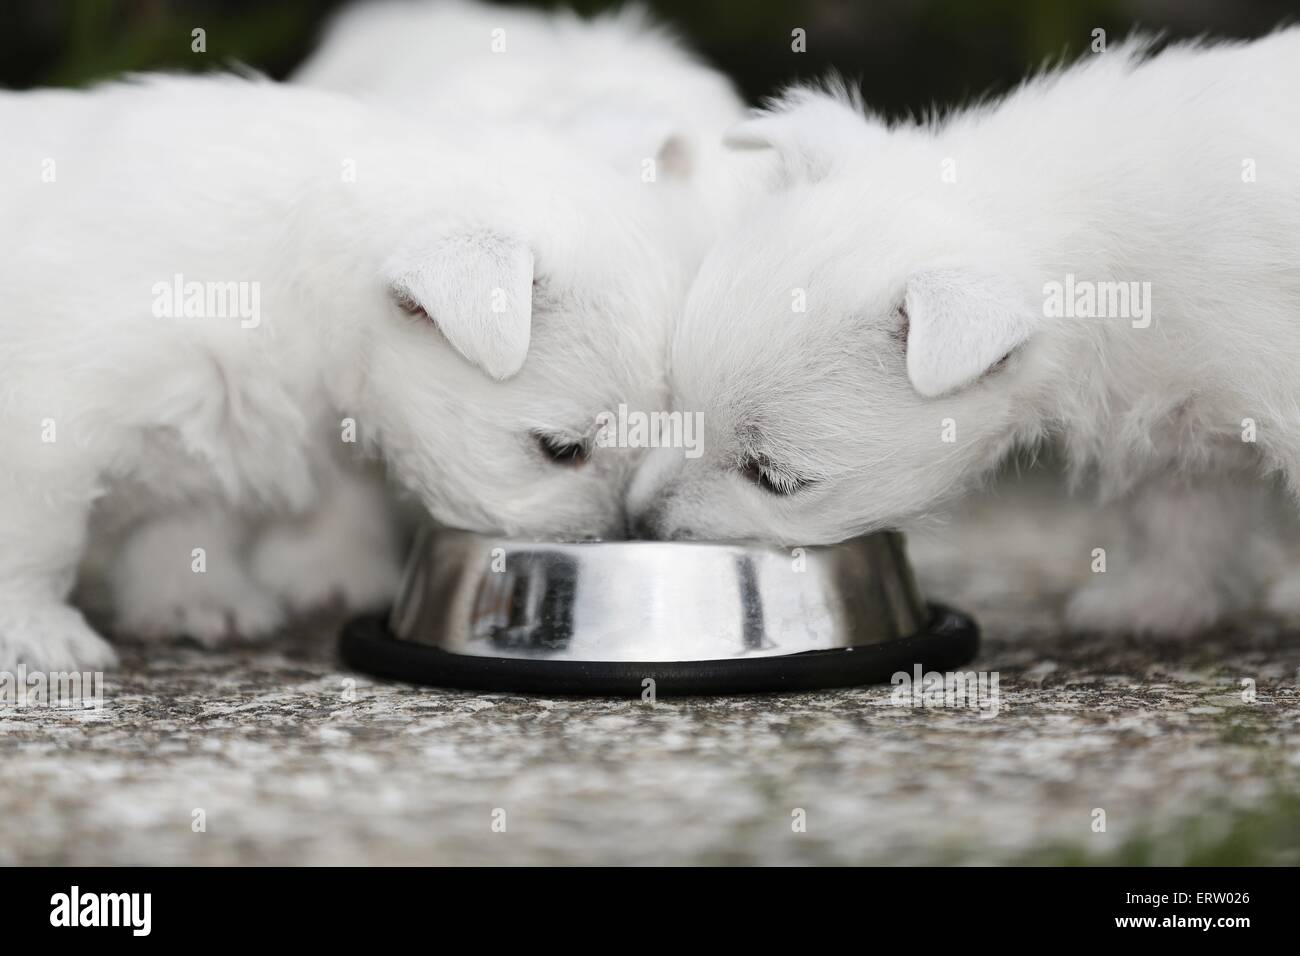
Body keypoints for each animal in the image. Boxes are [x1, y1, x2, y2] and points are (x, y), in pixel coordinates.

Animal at [0, 74, 686, 671]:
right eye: (561, 449)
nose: (618, 538)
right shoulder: (48, 433)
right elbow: (36, 542)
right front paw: (38, 635)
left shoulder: (219, 427)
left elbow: (188, 524)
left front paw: (196, 601)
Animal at [626, 33, 1300, 639]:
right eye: (678, 400)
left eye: (774, 479)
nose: (636, 520)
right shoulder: (1173, 414)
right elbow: (1180, 514)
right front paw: (1153, 603)